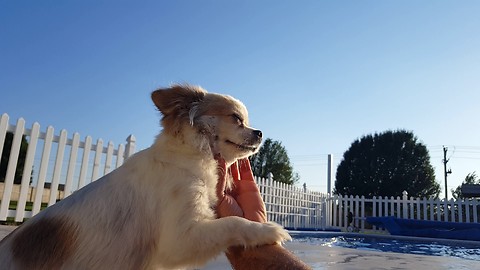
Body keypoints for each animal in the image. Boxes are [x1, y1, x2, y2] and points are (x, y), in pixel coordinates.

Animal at [0, 85, 290, 270]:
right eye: (237, 118)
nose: (260, 132)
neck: (192, 156)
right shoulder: (181, 238)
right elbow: (232, 222)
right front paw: (266, 229)